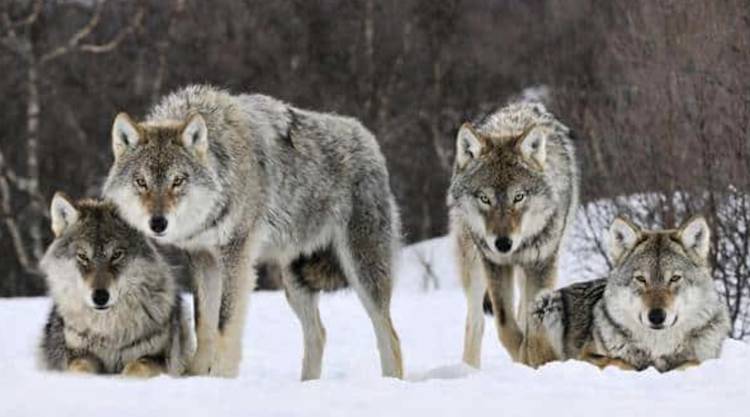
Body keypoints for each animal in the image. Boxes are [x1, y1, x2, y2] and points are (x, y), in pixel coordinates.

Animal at [39, 193, 193, 377]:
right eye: (83, 256)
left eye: (116, 255)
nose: (100, 297)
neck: (109, 332)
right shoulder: (79, 354)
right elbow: (80, 368)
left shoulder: (157, 358)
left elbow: (136, 368)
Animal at [103, 85, 403, 379]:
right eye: (141, 182)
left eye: (178, 181)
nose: (158, 223)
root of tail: (368, 138)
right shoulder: (202, 257)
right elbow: (204, 323)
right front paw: (196, 375)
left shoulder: (236, 255)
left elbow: (225, 323)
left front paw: (221, 377)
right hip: (294, 282)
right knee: (318, 334)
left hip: (362, 271)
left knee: (390, 336)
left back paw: (391, 381)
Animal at [448, 101, 579, 368]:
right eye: (484, 198)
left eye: (519, 197)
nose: (503, 243)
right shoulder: (495, 264)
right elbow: (505, 325)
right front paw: (522, 355)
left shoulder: (542, 263)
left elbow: (530, 322)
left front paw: (530, 357)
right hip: (474, 265)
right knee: (475, 322)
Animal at [529, 216, 730, 371]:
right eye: (641, 279)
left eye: (674, 278)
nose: (656, 316)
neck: (657, 346)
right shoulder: (586, 355)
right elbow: (619, 361)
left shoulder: (703, 359)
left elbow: (692, 363)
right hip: (547, 303)